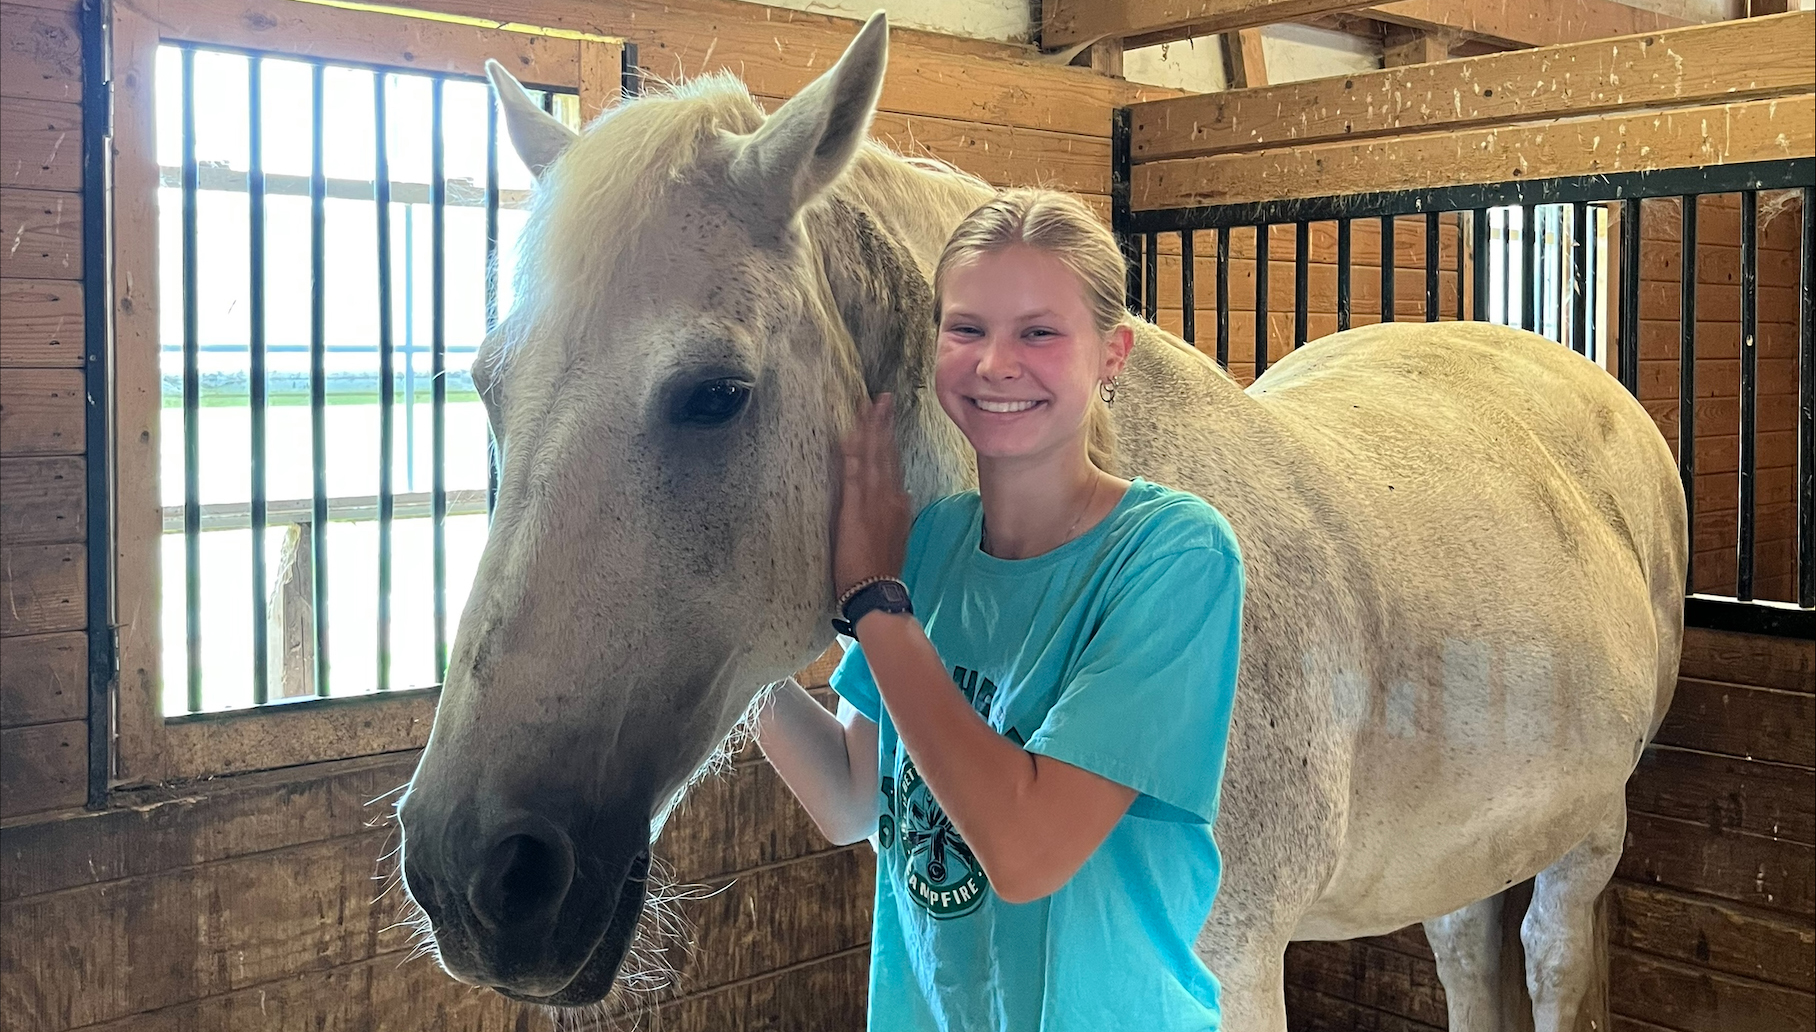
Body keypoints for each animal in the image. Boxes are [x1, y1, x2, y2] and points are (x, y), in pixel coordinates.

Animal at [395, 15, 1686, 1030]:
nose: (473, 876)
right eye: (488, 389)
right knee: (1468, 950)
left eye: (715, 394)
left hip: (1586, 840)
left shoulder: (1231, 969)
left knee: (1548, 954)